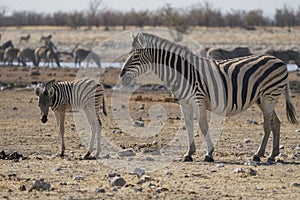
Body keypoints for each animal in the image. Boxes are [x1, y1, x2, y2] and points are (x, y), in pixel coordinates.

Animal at [120, 32, 298, 163]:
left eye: (135, 56)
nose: (121, 76)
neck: (182, 73)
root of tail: (280, 61)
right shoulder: (184, 104)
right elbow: (189, 126)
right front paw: (188, 154)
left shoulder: (197, 100)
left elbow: (203, 126)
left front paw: (209, 154)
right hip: (263, 99)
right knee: (276, 123)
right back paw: (272, 155)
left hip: (269, 96)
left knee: (268, 125)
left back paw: (258, 155)